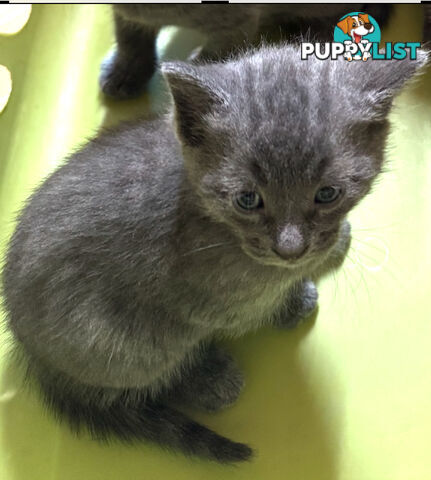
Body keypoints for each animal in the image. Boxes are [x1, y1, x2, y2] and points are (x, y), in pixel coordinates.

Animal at [2, 45, 428, 462]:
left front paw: (331, 246)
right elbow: (250, 310)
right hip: (120, 343)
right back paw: (211, 379)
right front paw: (291, 300)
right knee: (140, 380)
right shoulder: (206, 305)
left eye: (328, 194)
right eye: (247, 199)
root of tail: (34, 357)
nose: (290, 248)